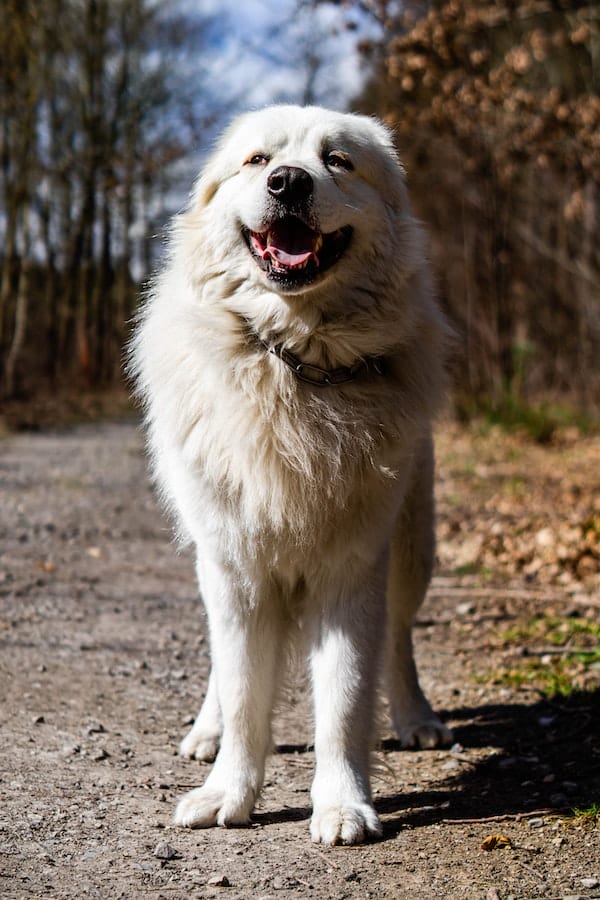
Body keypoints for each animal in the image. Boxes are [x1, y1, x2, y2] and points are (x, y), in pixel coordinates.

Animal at [131, 103, 450, 844]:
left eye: (337, 160)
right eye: (258, 160)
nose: (288, 183)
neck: (293, 365)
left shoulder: (353, 571)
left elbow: (345, 700)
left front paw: (342, 805)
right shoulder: (235, 565)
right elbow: (245, 693)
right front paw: (228, 793)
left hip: (413, 547)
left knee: (400, 642)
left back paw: (416, 717)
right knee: (222, 667)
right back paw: (207, 731)